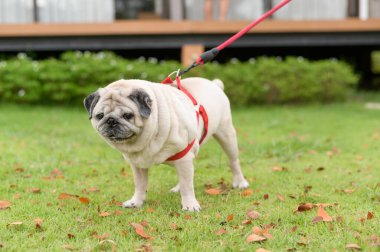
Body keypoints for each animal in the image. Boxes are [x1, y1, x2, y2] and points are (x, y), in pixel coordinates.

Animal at [84, 77, 249, 211]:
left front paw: (190, 205)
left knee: (233, 161)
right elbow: (140, 185)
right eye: (100, 116)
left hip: (226, 135)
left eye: (128, 115)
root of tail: (214, 84)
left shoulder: (184, 157)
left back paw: (240, 182)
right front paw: (136, 202)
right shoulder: (138, 164)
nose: (111, 121)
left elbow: (188, 186)